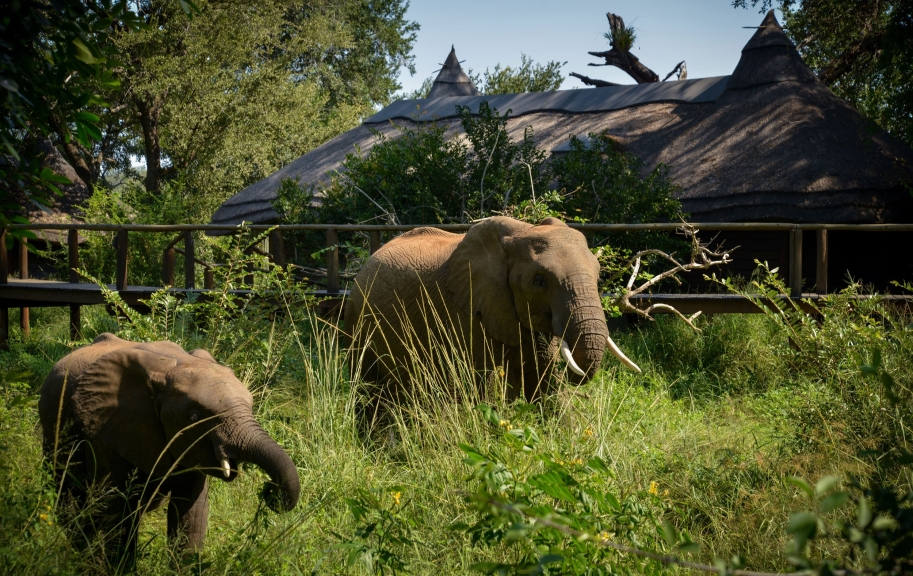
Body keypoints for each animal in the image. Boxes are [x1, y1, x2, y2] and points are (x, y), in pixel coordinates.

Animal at [38, 336, 300, 564]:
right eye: (193, 416)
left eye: (251, 406)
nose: (270, 490)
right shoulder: (105, 433)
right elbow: (116, 508)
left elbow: (192, 512)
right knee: (69, 497)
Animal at [344, 216, 640, 410]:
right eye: (539, 281)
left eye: (598, 275)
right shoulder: (465, 308)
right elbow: (480, 386)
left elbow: (544, 382)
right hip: (358, 315)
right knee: (369, 387)